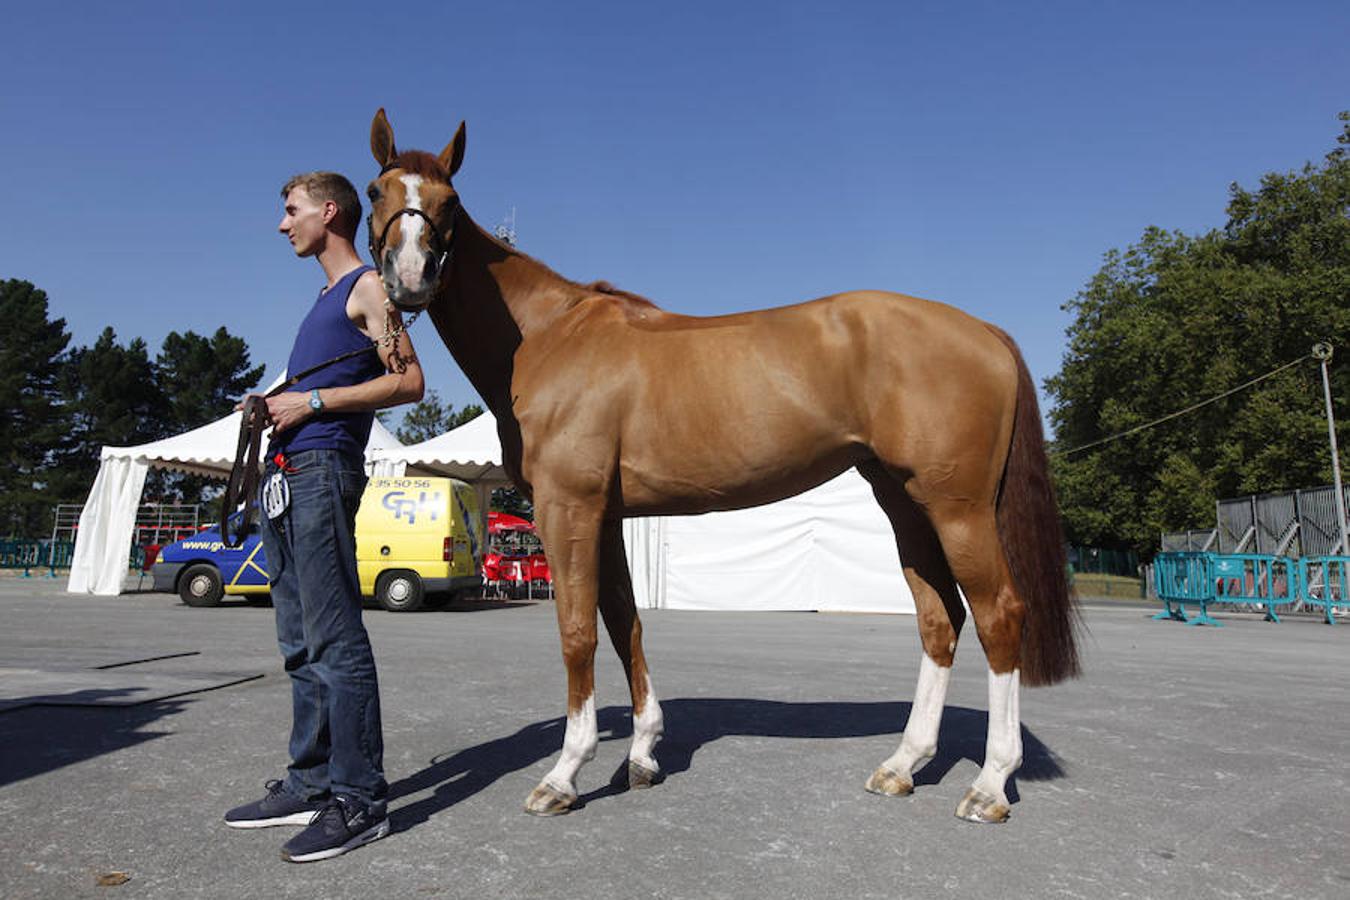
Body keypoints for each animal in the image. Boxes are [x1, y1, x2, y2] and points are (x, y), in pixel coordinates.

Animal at [367, 109, 1074, 820]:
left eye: (449, 201)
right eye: (377, 192)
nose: (410, 277)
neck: (548, 336)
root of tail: (985, 331)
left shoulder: (569, 508)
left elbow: (578, 632)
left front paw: (565, 773)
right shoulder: (607, 516)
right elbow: (625, 625)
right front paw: (642, 754)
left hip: (959, 510)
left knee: (998, 615)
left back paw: (990, 785)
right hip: (906, 504)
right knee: (940, 618)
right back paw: (903, 765)